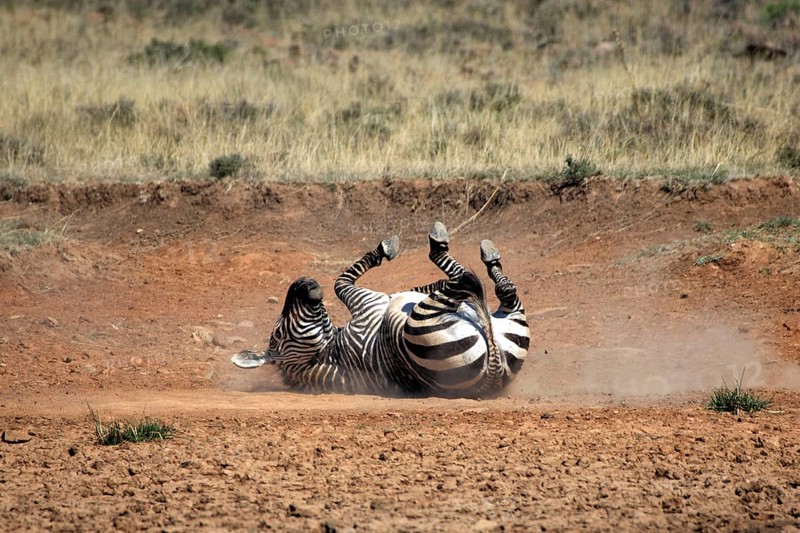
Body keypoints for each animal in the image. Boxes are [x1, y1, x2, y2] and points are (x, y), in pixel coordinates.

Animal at [231, 222, 530, 398]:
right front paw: (387, 249)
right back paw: (450, 248)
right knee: (471, 281)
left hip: (512, 322)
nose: (303, 282)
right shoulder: (364, 301)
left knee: (500, 291)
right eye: (278, 335)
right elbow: (341, 280)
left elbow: (416, 286)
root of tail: (492, 378)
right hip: (421, 323)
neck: (328, 348)